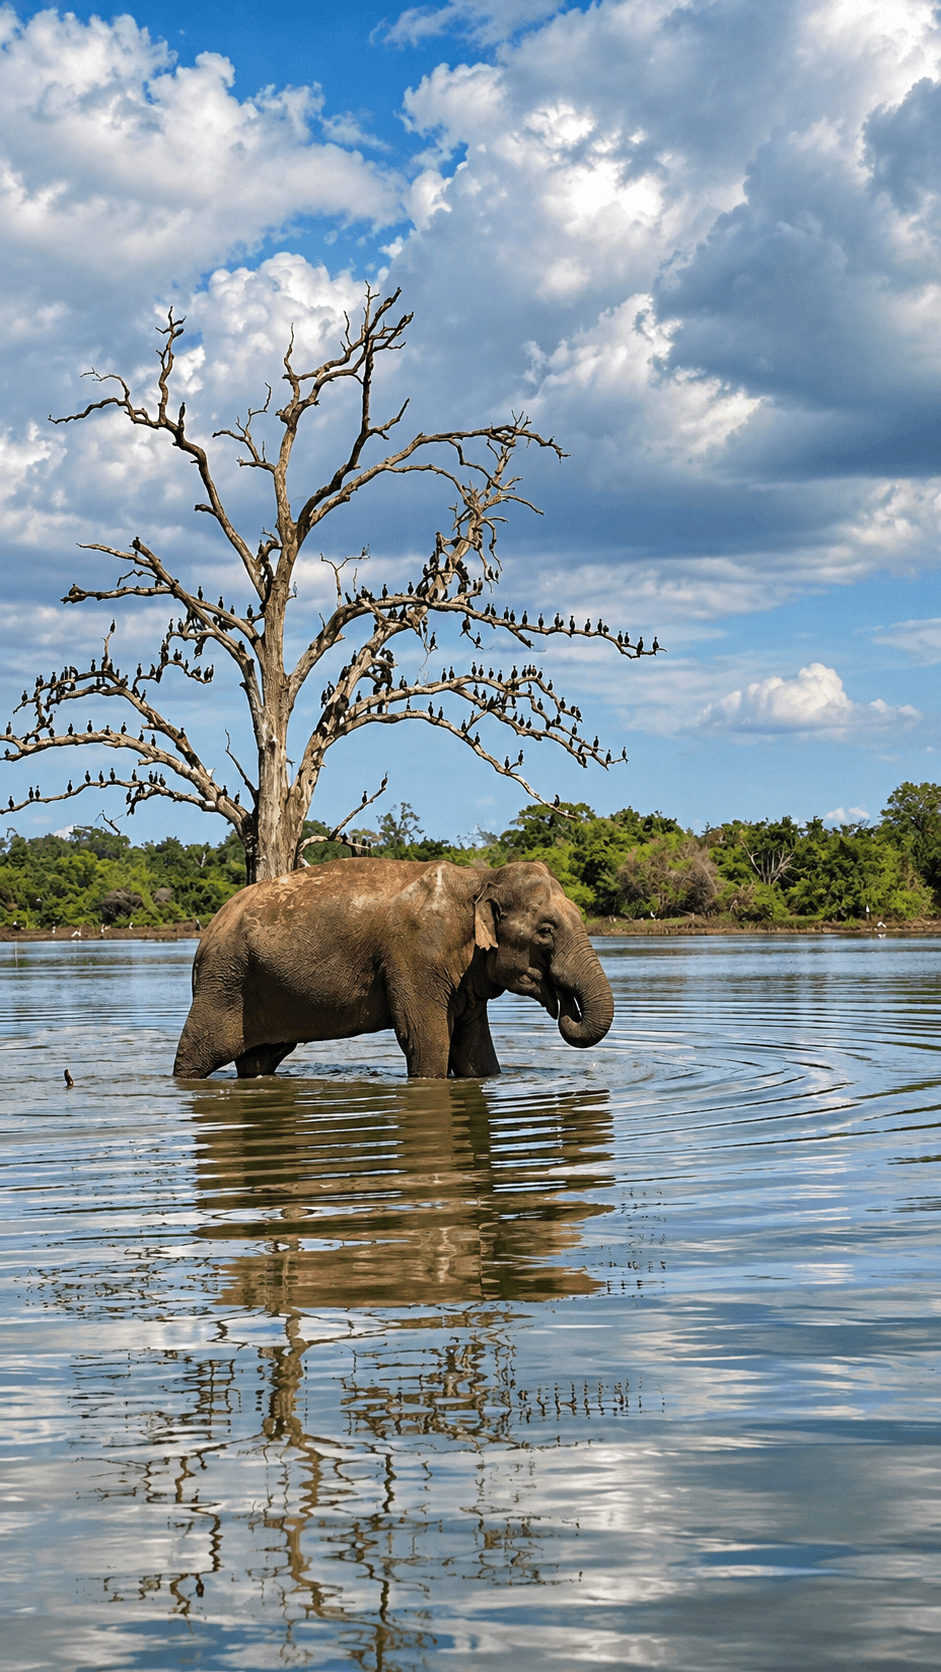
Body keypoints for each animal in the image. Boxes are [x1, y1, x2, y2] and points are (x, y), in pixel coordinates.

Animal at [172, 857, 614, 1079]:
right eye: (546, 931)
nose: (565, 1009)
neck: (480, 878)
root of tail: (207, 932)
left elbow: (475, 1050)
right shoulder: (417, 953)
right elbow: (426, 1039)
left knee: (260, 1059)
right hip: (224, 980)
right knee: (199, 1052)